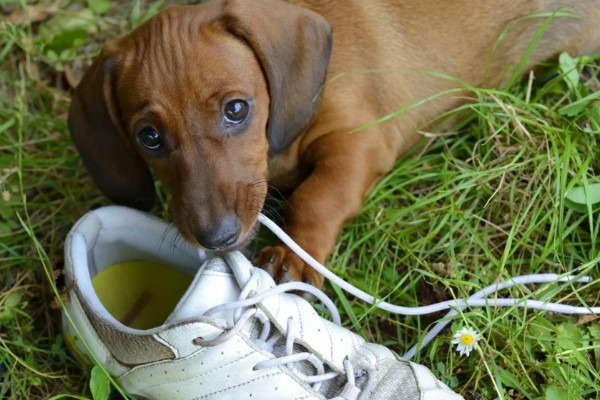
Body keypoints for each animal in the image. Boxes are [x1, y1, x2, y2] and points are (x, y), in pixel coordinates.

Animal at [67, 0, 600, 288]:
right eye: (149, 138)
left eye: (236, 109)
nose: (216, 237)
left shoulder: (358, 142)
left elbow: (317, 197)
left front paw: (295, 254)